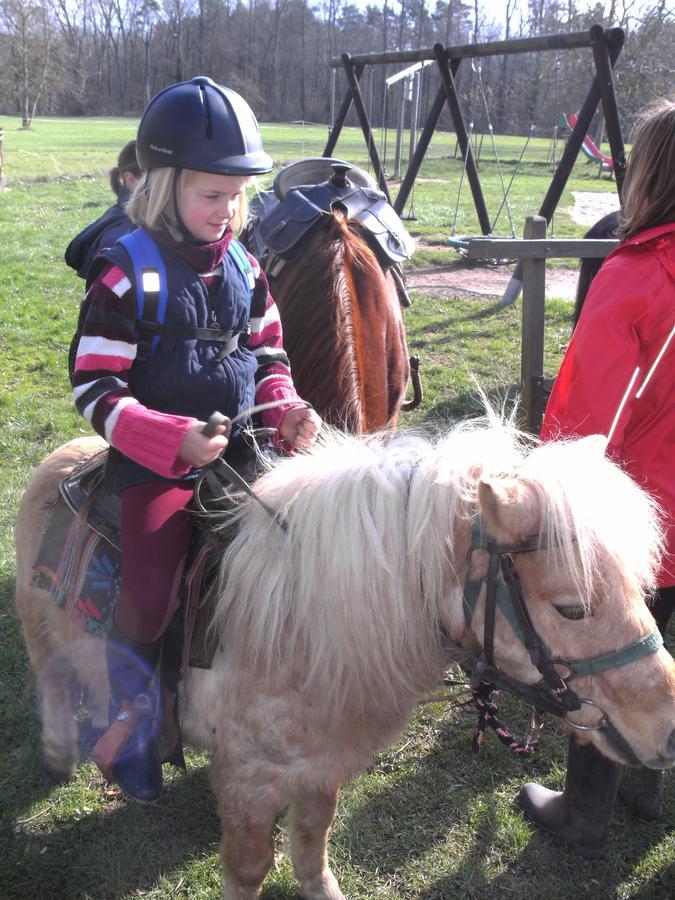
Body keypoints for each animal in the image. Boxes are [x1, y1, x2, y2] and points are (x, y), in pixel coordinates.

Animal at [14, 422, 675, 900]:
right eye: (571, 608)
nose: (668, 732)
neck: (300, 629)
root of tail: (64, 455)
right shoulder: (248, 779)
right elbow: (250, 868)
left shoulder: (322, 764)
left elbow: (312, 840)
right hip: (40, 632)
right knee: (52, 684)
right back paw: (67, 754)